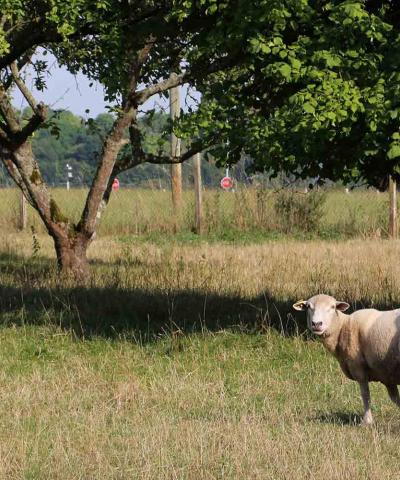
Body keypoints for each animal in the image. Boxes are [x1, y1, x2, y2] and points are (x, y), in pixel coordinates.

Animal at [292, 292, 400, 424]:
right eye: (308, 306)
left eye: (333, 307)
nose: (317, 324)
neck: (343, 326)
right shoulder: (387, 375)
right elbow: (395, 398)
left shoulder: (358, 367)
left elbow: (365, 395)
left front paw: (367, 421)